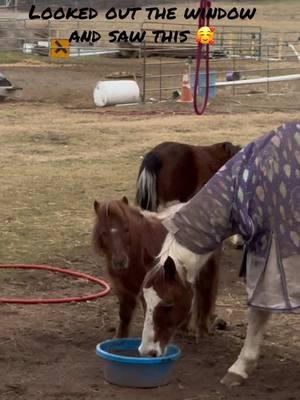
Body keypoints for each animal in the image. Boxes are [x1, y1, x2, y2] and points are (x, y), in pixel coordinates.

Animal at [92, 198, 219, 340]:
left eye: (126, 229)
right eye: (104, 232)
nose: (120, 261)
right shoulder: (124, 289)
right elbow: (124, 316)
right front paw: (120, 339)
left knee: (205, 296)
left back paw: (201, 331)